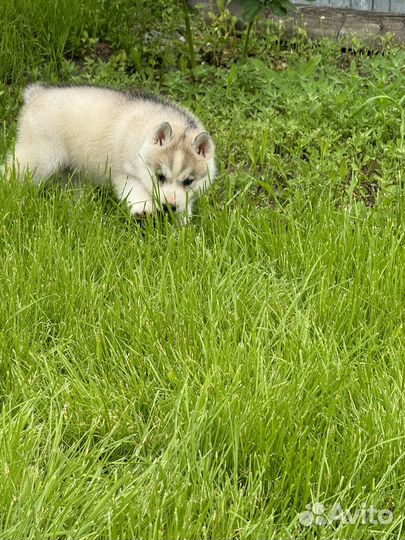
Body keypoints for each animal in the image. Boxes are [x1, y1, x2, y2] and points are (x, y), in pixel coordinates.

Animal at [7, 84, 215, 217]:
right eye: (160, 177)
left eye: (188, 182)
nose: (169, 206)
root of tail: (38, 94)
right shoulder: (123, 172)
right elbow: (135, 189)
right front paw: (144, 209)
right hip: (40, 157)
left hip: (73, 171)